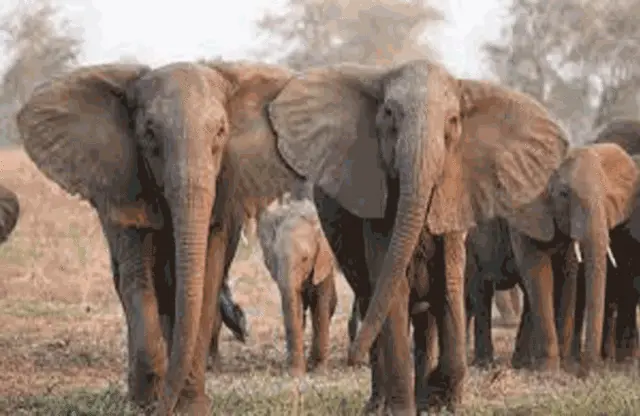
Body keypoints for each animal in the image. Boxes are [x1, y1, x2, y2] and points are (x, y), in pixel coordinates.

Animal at [257, 194, 340, 376]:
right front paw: (295, 373)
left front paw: (319, 371)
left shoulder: (323, 262)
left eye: (305, 258)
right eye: (274, 258)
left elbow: (320, 307)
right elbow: (295, 308)